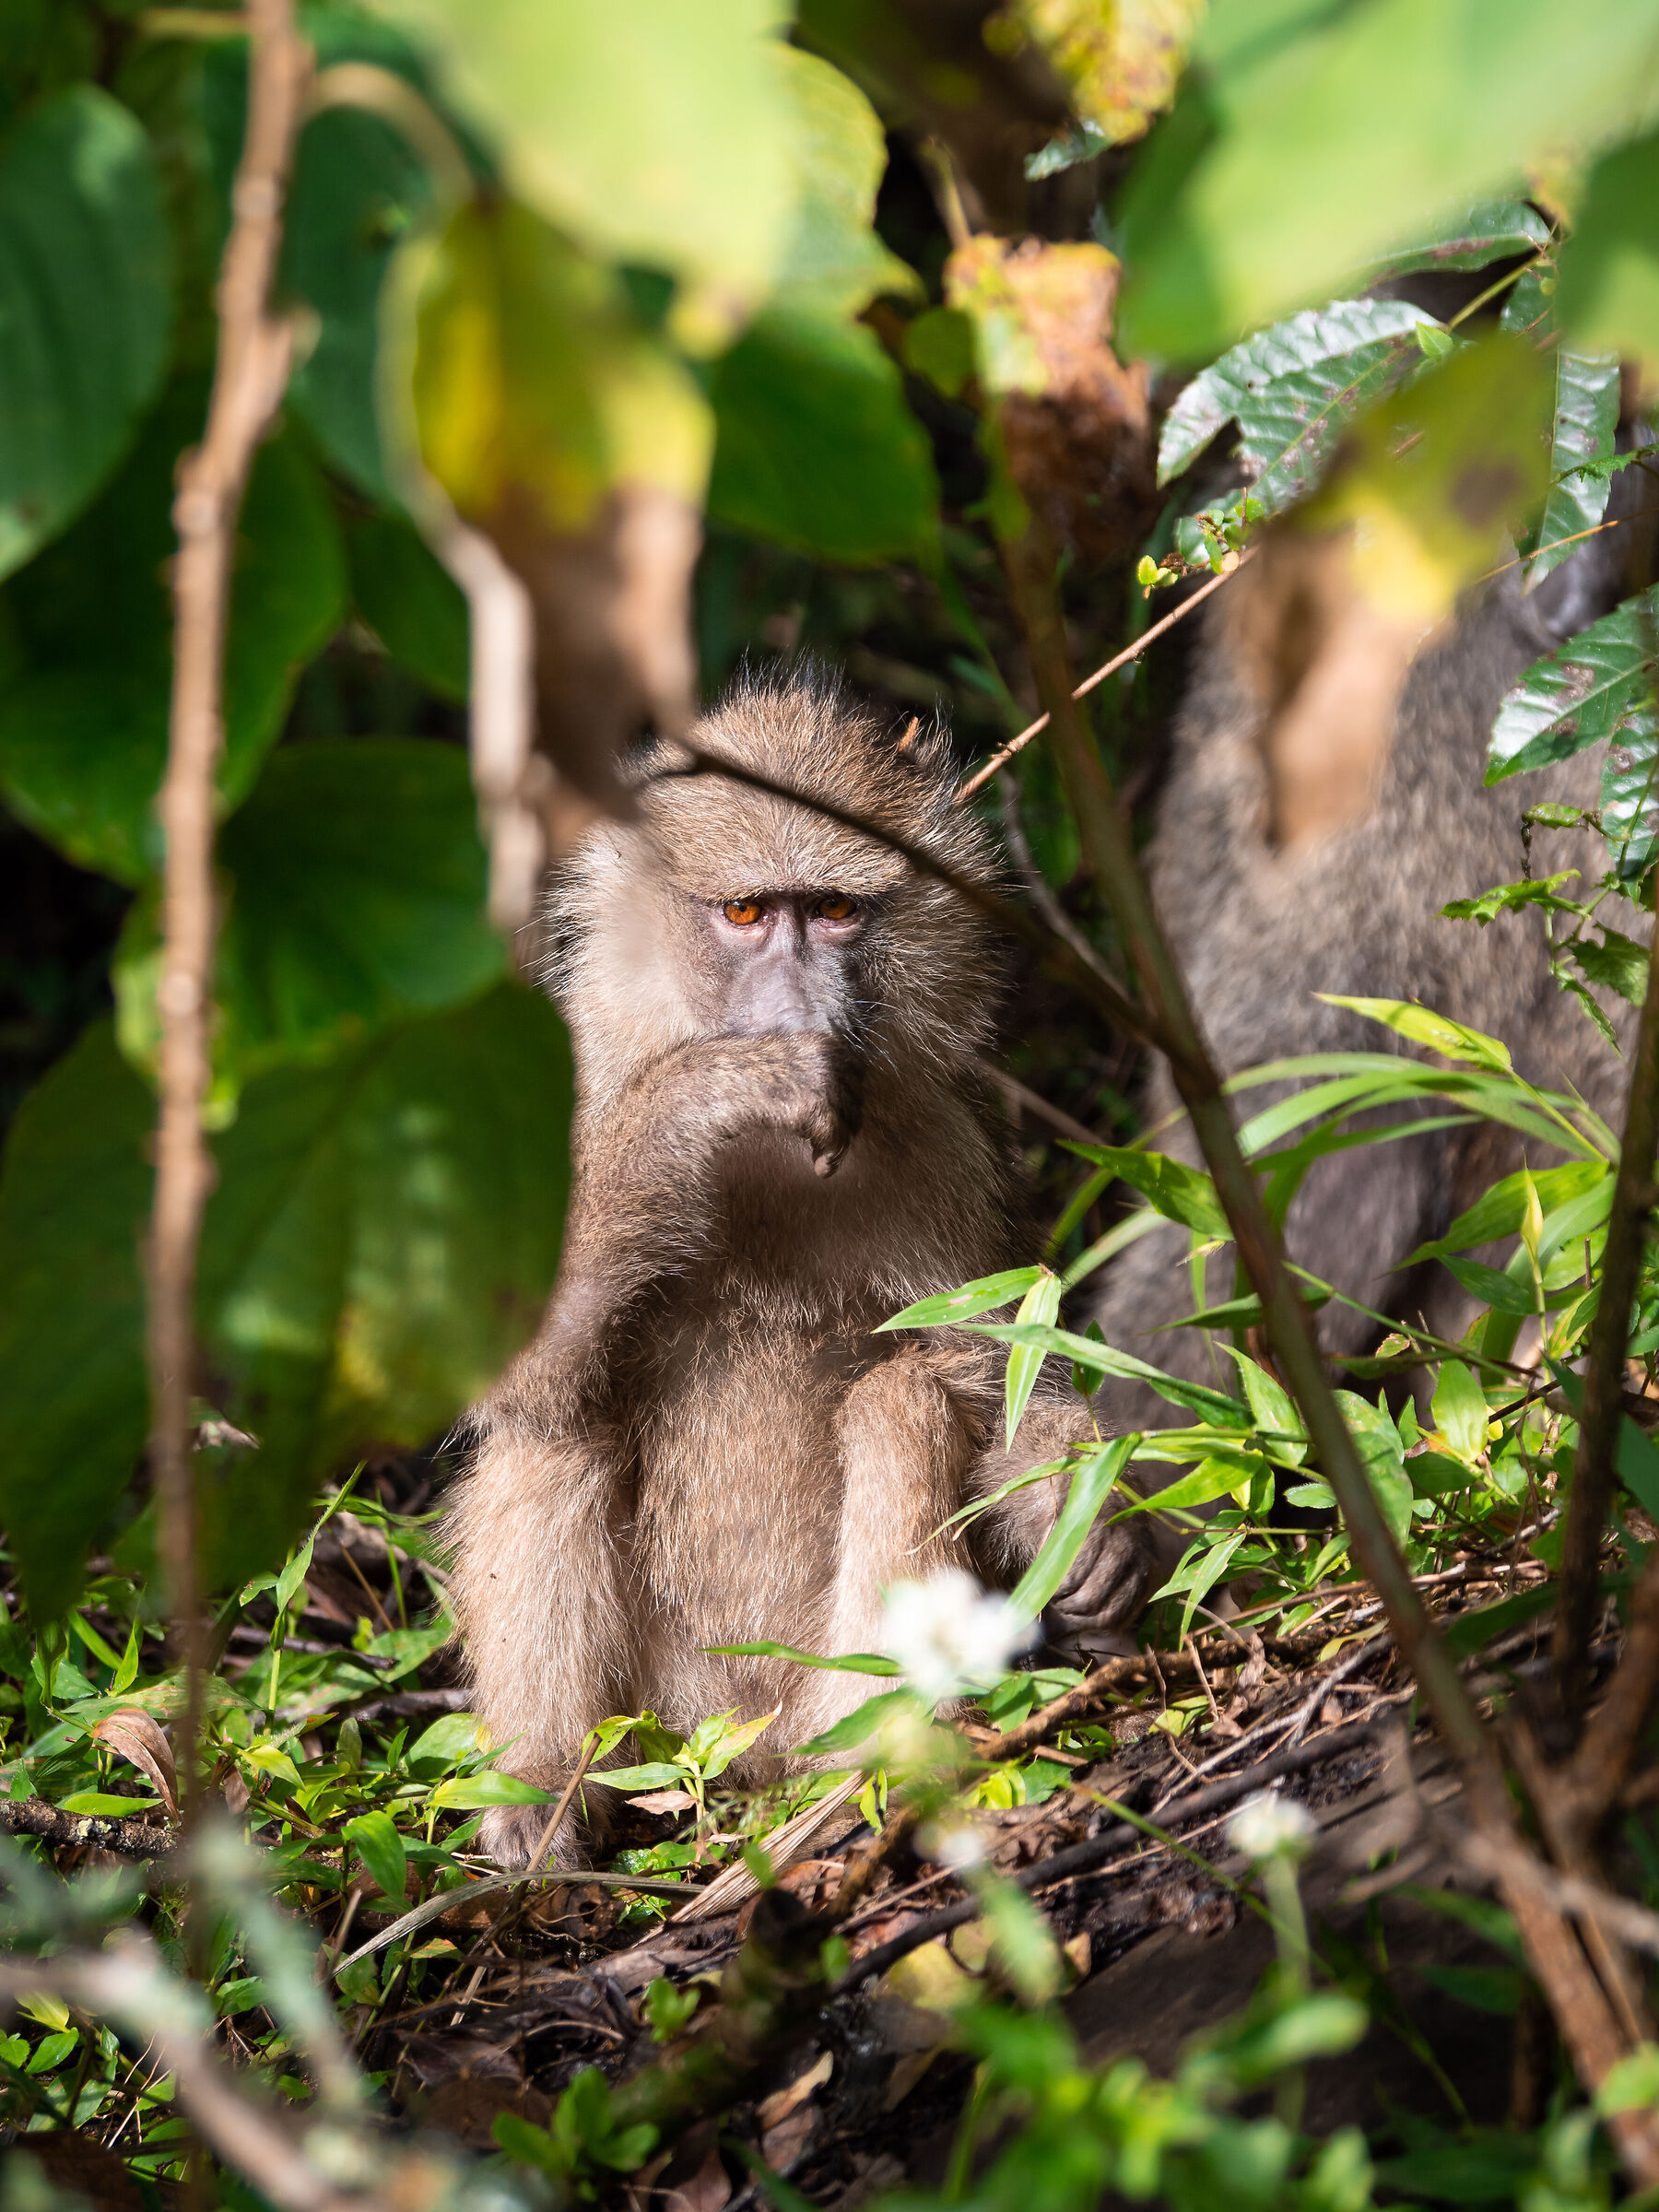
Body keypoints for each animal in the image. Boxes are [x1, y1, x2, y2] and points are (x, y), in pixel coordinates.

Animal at [449, 668, 1154, 1867]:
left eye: (832, 912)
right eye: (744, 914)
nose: (801, 1009)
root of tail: (741, 1753)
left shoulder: (953, 1140)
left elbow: (989, 1376)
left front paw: (1084, 1526)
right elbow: (517, 1376)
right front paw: (712, 1092)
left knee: (901, 1398)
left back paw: (867, 1768)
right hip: (669, 1713)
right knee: (560, 1428)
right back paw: (543, 1804)